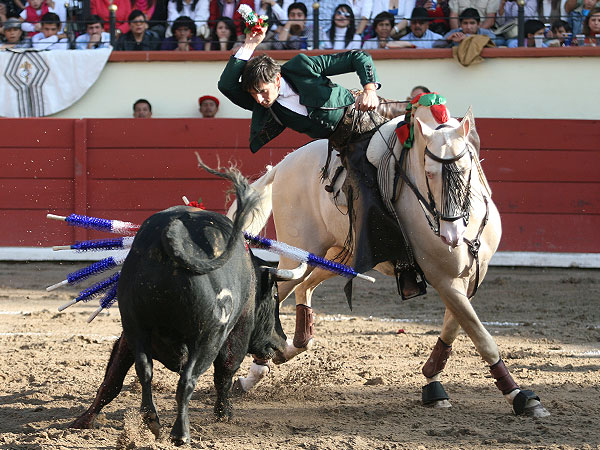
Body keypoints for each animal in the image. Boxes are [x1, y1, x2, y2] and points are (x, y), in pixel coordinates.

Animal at [71, 164, 294, 442]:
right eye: (275, 295)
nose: (281, 342)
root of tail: (173, 236)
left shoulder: (127, 335)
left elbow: (113, 378)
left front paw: (84, 420)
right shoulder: (237, 331)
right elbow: (225, 371)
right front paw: (225, 414)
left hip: (136, 326)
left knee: (144, 370)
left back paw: (151, 420)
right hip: (207, 338)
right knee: (188, 380)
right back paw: (180, 432)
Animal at [230, 102, 548, 418]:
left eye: (467, 168)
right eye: (428, 172)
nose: (451, 235)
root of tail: (285, 163)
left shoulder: (468, 279)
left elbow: (454, 326)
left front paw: (432, 382)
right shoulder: (443, 278)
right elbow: (481, 337)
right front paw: (519, 396)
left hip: (338, 256)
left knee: (303, 287)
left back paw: (288, 349)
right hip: (297, 251)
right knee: (274, 291)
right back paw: (251, 374)